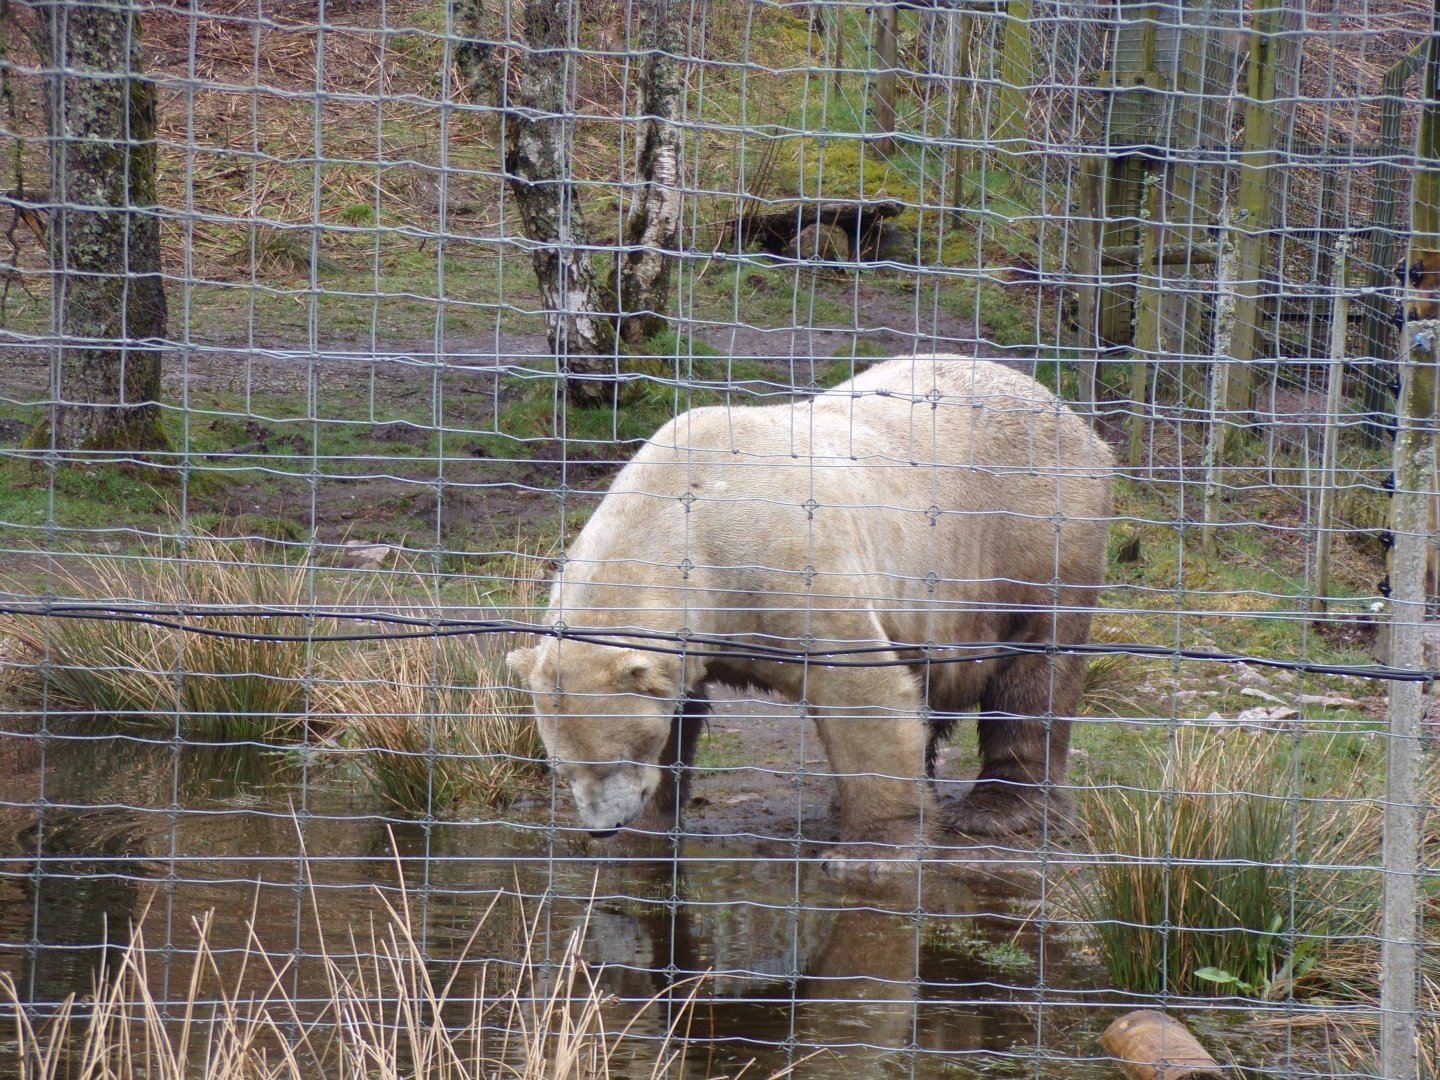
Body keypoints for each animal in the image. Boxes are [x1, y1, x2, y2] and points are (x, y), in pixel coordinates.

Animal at [506, 356, 1115, 877]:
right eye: (560, 766)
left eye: (612, 759)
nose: (604, 827)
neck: (683, 514)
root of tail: (1067, 412)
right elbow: (682, 710)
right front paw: (643, 839)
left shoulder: (782, 567)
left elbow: (860, 689)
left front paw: (869, 855)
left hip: (1031, 530)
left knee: (1036, 667)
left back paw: (996, 810)